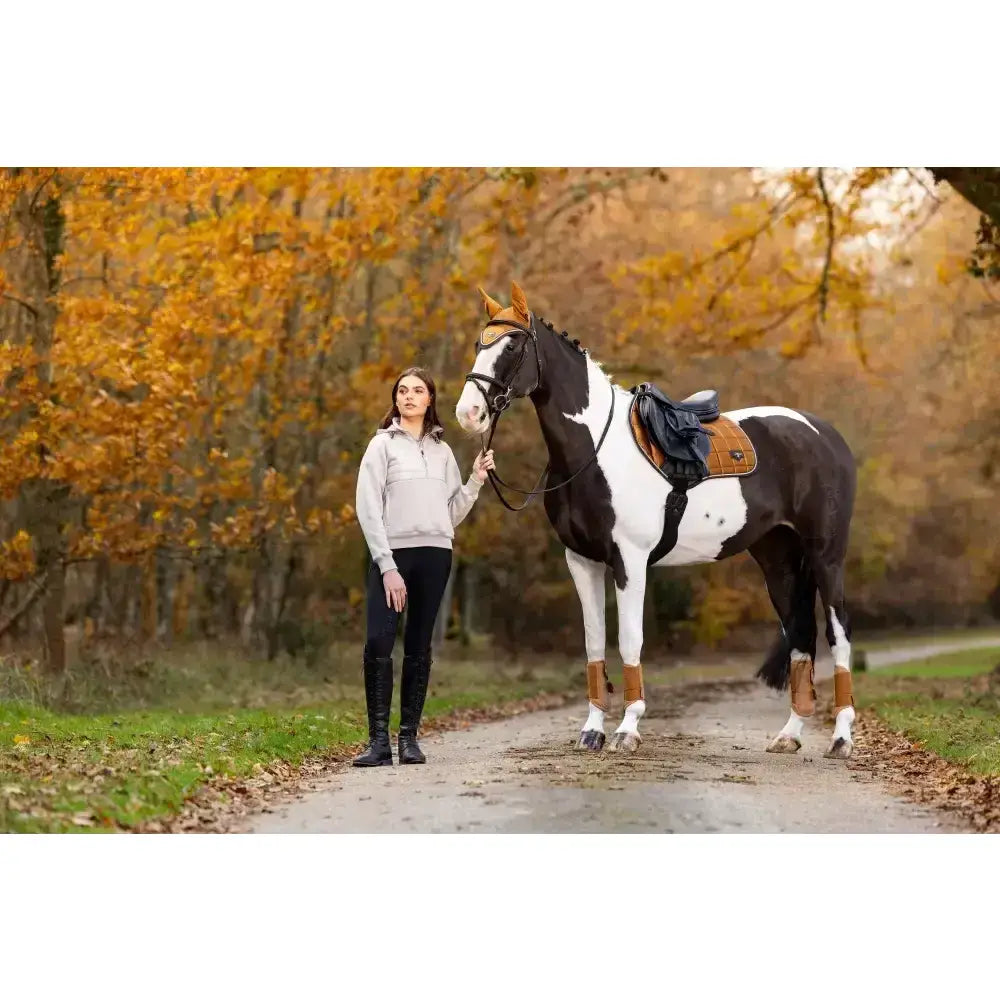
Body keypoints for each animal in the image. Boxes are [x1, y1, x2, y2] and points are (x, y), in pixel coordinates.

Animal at [455, 281, 858, 759]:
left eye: (513, 345)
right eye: (479, 343)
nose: (468, 414)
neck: (595, 450)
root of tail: (826, 435)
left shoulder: (629, 560)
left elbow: (630, 641)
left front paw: (627, 729)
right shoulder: (582, 561)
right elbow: (594, 643)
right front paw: (592, 731)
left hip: (826, 557)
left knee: (839, 634)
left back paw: (841, 738)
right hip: (777, 561)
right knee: (800, 636)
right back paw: (789, 735)